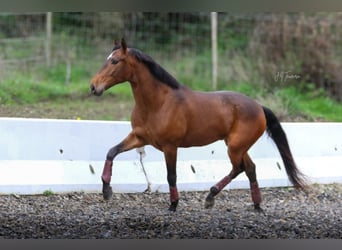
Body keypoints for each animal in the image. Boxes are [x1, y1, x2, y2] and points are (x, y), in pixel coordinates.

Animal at [89, 38, 306, 211]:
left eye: (115, 61)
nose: (93, 87)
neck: (158, 103)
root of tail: (259, 107)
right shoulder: (139, 137)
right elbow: (111, 152)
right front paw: (106, 190)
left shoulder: (170, 146)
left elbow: (171, 176)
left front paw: (173, 205)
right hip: (237, 145)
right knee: (250, 168)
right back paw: (256, 205)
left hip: (235, 147)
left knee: (239, 168)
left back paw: (211, 197)